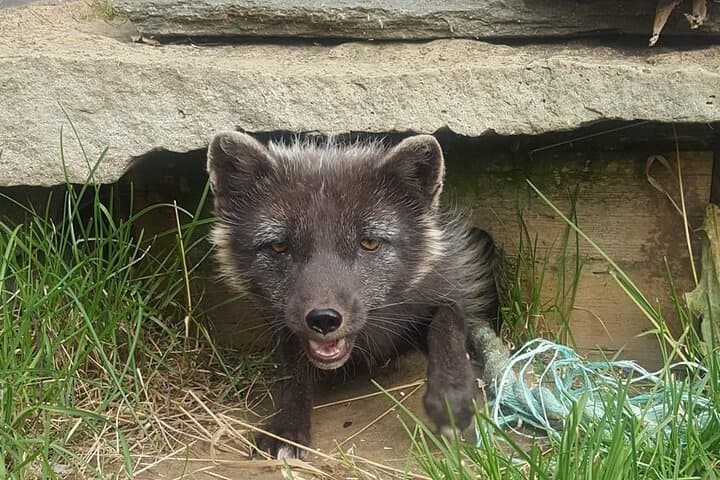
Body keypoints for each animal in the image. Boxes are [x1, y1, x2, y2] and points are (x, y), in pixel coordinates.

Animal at [206, 132, 506, 459]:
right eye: (278, 246)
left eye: (370, 243)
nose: (324, 319)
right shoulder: (285, 324)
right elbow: (292, 370)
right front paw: (286, 426)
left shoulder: (448, 289)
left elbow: (447, 321)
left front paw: (451, 396)